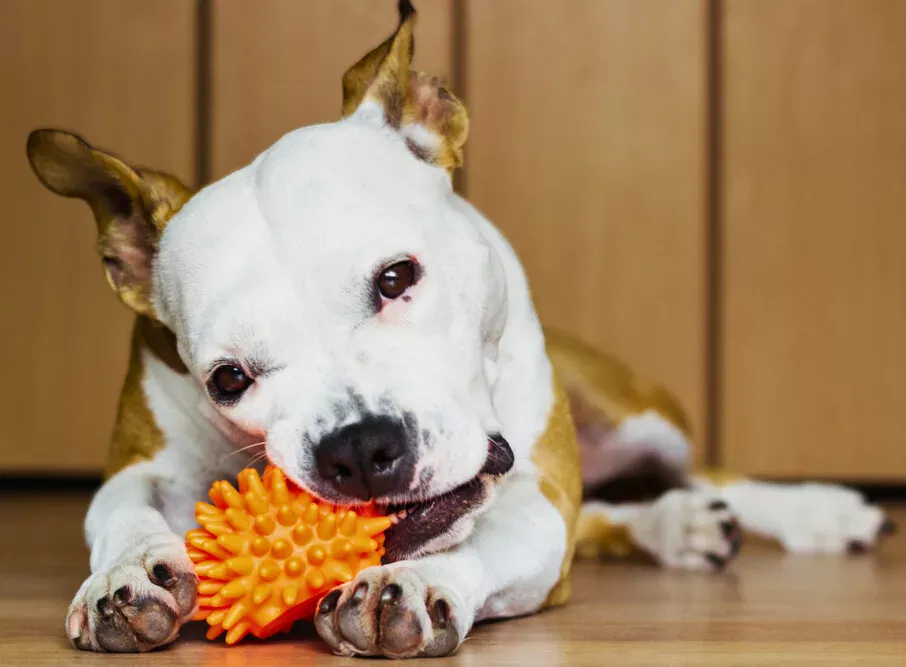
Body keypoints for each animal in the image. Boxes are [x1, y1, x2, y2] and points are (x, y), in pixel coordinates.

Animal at [26, 0, 888, 656]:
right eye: (228, 378)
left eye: (397, 278)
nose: (359, 448)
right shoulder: (141, 459)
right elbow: (120, 507)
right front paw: (125, 575)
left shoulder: (538, 498)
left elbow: (489, 539)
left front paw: (414, 580)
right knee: (614, 515)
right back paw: (677, 527)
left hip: (643, 417)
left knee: (705, 471)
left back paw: (818, 511)